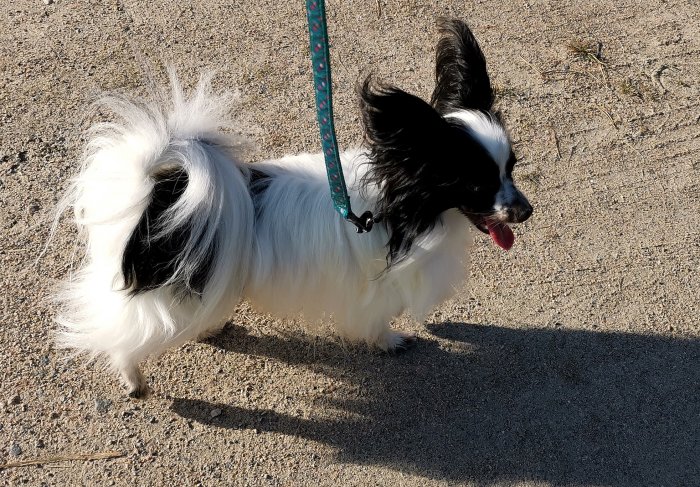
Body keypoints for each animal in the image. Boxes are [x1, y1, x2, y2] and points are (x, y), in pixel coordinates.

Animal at [56, 20, 532, 400]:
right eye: (477, 183)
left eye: (510, 168)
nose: (526, 211)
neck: (396, 207)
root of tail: (161, 192)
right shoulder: (375, 286)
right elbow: (378, 319)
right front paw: (390, 341)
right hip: (162, 297)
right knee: (123, 332)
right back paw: (133, 379)